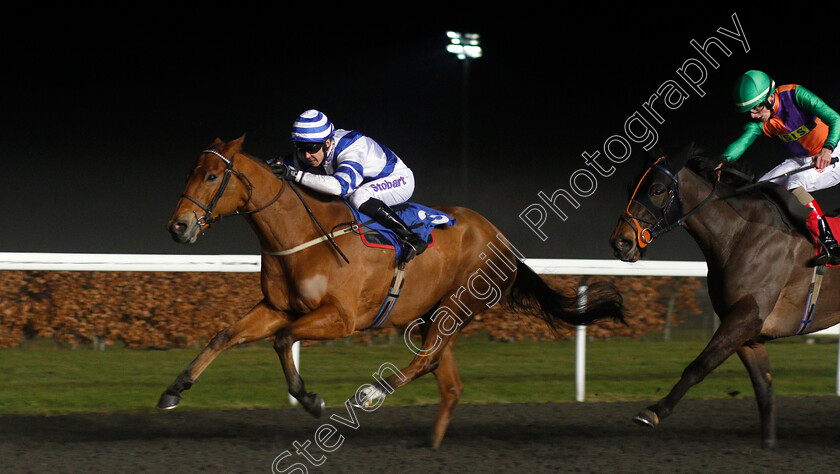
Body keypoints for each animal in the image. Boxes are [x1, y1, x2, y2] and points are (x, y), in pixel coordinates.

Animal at [159, 134, 632, 448]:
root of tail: (503, 242)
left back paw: (372, 394)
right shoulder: (277, 306)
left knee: (425, 361)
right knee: (447, 378)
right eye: (190, 173)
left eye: (213, 176)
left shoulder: (342, 318)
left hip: (456, 306)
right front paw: (174, 390)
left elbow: (282, 340)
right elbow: (225, 335)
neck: (302, 236)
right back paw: (432, 442)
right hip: (433, 312)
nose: (178, 227)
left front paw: (310, 399)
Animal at [612, 143, 840, 448]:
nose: (620, 243)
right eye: (630, 187)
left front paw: (654, 411)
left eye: (657, 190)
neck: (741, 233)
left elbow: (699, 366)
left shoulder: (746, 317)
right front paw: (768, 442)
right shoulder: (746, 331)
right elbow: (763, 386)